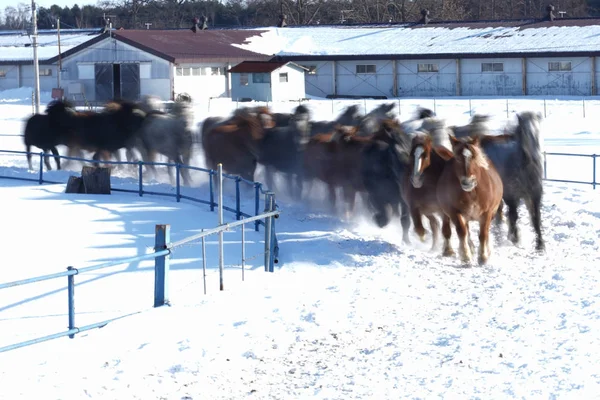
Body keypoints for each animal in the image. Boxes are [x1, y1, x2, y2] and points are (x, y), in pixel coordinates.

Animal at [434, 135, 504, 266]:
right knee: (453, 230)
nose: (467, 182)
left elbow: (483, 234)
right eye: (457, 158)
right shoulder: (455, 212)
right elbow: (462, 232)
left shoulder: (487, 213)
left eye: (474, 158)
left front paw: (483, 256)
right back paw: (452, 250)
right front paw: (466, 256)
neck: (472, 193)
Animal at [480, 111, 548, 252]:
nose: (535, 155)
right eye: (524, 131)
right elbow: (513, 215)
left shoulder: (534, 195)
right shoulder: (511, 196)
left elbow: (536, 218)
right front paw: (514, 238)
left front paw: (540, 244)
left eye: (539, 129)